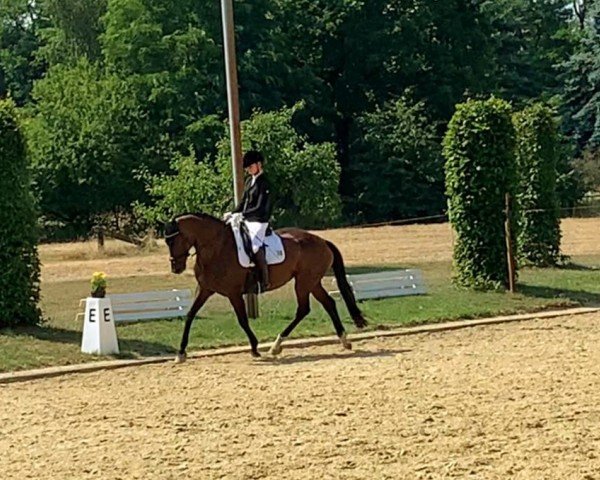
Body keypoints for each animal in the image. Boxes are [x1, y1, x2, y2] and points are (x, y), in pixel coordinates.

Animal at [166, 212, 368, 362]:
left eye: (173, 240)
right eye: (167, 241)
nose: (176, 268)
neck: (217, 248)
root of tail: (322, 241)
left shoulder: (234, 293)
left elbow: (242, 320)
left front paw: (255, 348)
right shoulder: (205, 289)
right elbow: (190, 315)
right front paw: (181, 353)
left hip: (304, 282)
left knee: (303, 309)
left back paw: (276, 345)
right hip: (312, 282)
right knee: (328, 303)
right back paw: (344, 341)